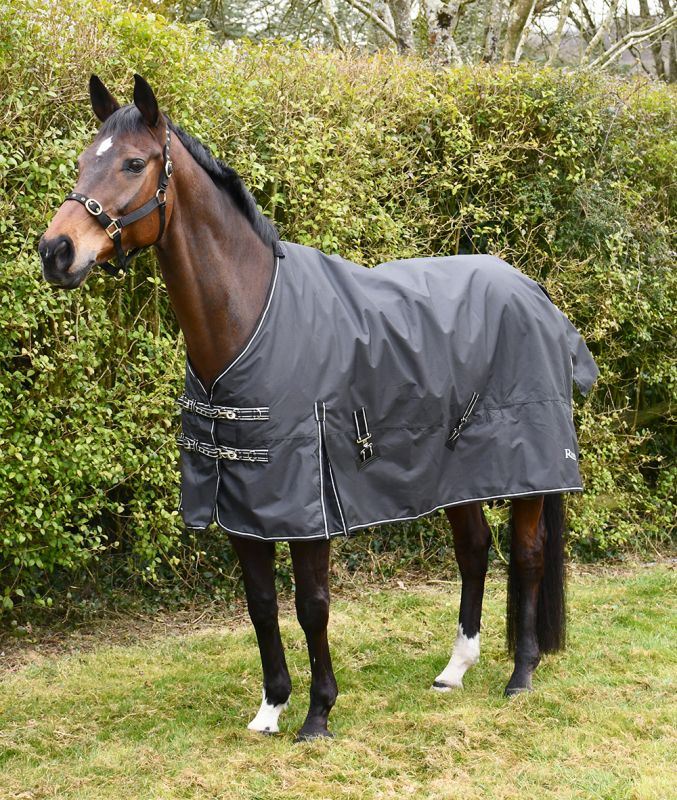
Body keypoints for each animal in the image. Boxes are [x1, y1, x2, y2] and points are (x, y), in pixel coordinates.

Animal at [39, 74, 597, 742]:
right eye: (81, 162)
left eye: (132, 163)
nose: (55, 251)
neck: (250, 316)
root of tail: (533, 291)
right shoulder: (242, 504)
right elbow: (260, 606)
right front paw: (269, 709)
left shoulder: (308, 501)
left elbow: (311, 605)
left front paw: (318, 713)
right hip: (458, 471)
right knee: (475, 549)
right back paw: (454, 671)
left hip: (528, 472)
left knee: (529, 556)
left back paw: (521, 675)